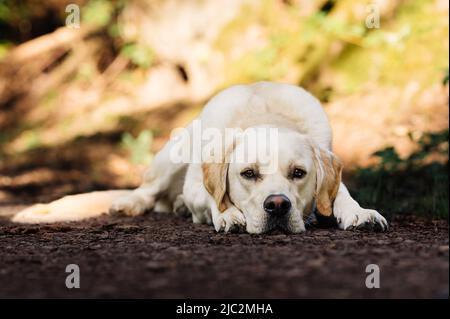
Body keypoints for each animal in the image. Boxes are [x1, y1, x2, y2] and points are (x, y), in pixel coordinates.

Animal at [12, 81, 388, 234]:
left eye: (299, 173)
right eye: (247, 174)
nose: (278, 205)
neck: (265, 113)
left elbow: (341, 193)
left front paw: (360, 213)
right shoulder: (197, 185)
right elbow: (212, 197)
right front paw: (229, 215)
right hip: (174, 152)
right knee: (147, 191)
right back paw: (132, 204)